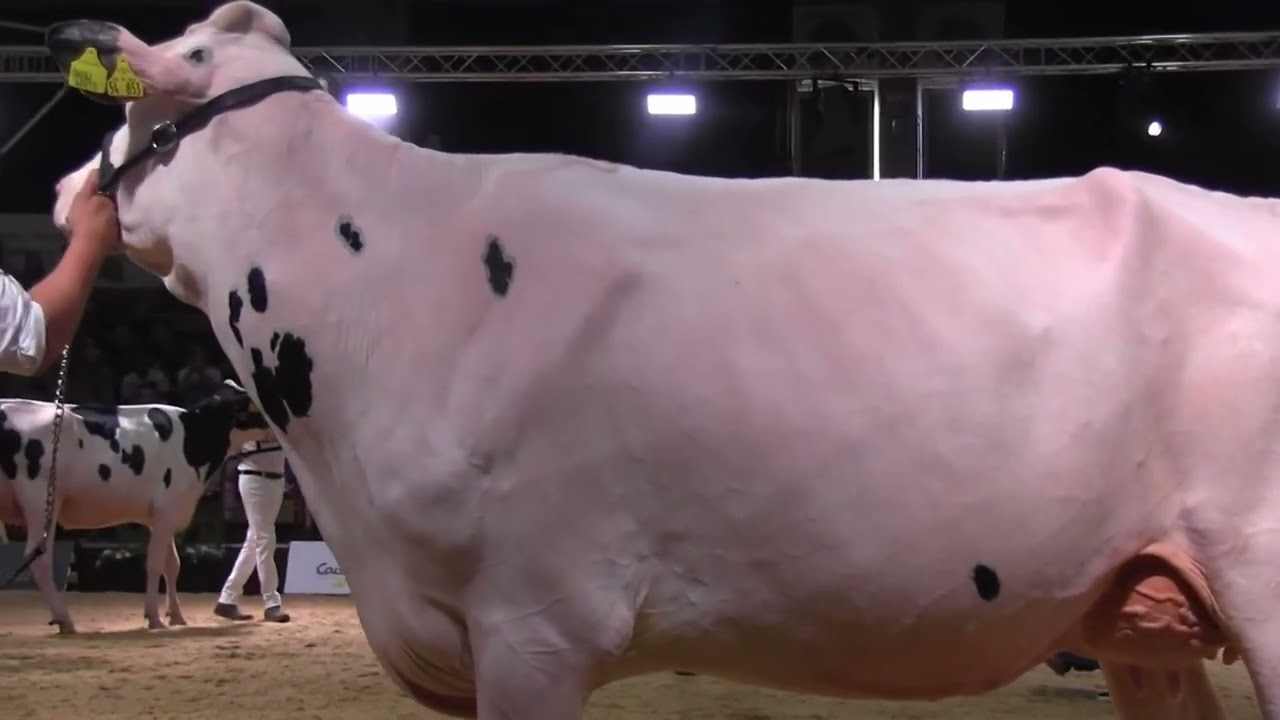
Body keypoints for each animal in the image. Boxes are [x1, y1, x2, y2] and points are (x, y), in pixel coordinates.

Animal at [0, 380, 271, 633]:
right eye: (255, 403)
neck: (190, 438)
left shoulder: (164, 515)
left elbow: (172, 564)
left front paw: (177, 616)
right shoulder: (166, 510)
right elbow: (154, 563)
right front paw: (154, 617)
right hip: (41, 499)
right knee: (40, 560)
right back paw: (65, 621)